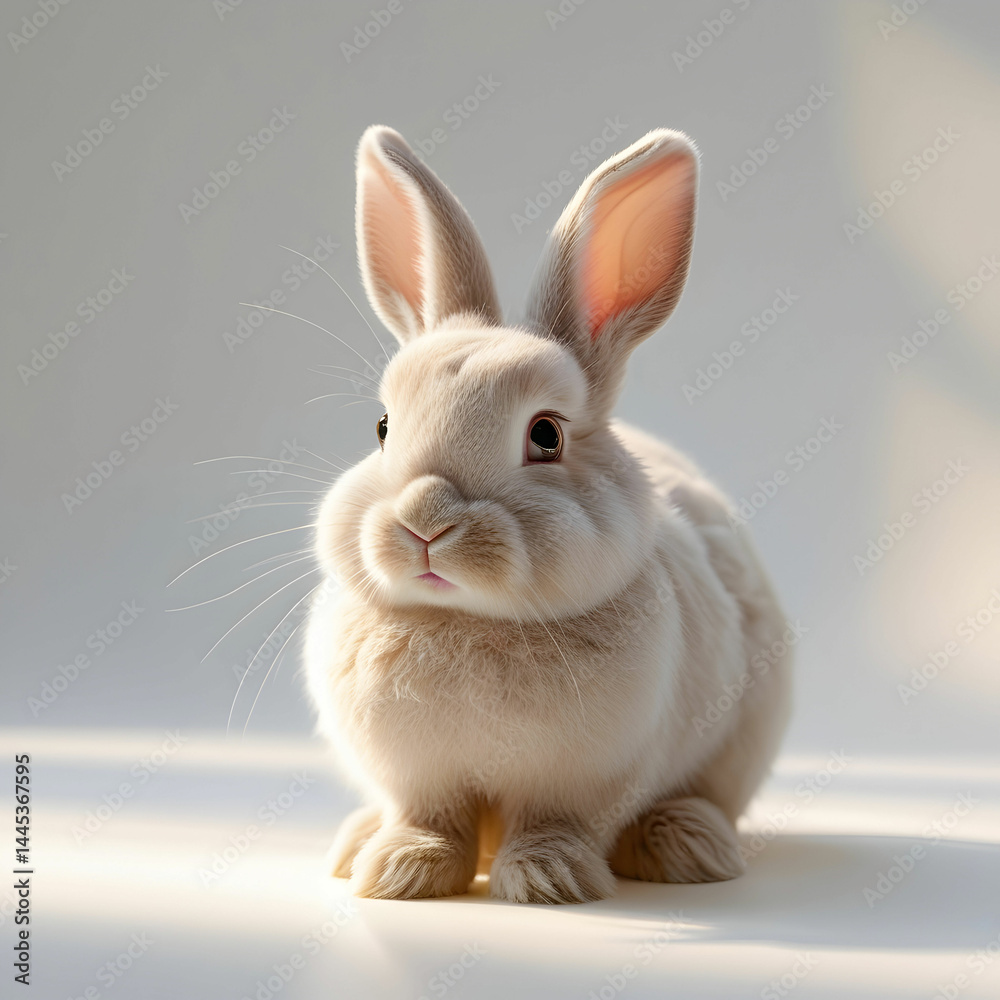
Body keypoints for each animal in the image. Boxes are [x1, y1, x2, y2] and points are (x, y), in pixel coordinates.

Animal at [304, 124, 793, 904]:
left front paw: (546, 879)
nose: (425, 520)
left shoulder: (583, 780)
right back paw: (358, 842)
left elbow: (552, 821)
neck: (469, 621)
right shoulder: (418, 777)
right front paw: (404, 871)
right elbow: (430, 818)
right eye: (382, 427)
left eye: (546, 435)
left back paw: (685, 845)